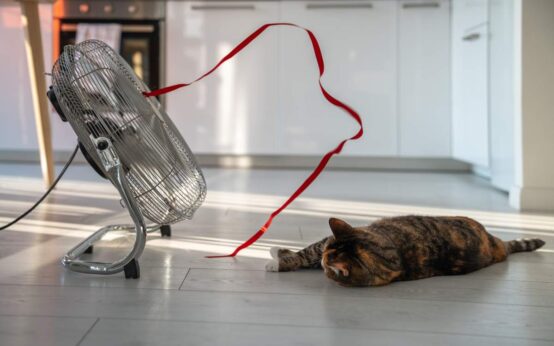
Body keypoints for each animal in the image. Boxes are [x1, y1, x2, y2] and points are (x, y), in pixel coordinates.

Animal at [264, 216, 544, 286]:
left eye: (327, 266)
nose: (324, 261)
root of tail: (495, 242)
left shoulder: (326, 246)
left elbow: (307, 254)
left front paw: (276, 260)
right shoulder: (327, 241)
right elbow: (308, 252)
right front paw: (279, 250)